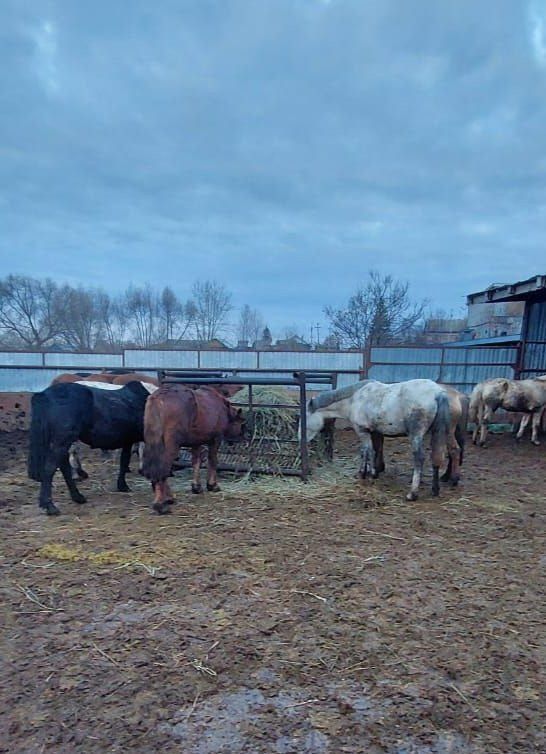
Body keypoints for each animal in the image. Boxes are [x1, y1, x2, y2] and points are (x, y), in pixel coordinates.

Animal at [27, 378, 155, 516]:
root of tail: (44, 395)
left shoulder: (128, 440)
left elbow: (124, 461)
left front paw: (122, 485)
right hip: (62, 441)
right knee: (50, 468)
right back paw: (50, 505)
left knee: (64, 466)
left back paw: (77, 496)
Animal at [140, 384, 244, 516]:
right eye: (241, 423)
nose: (242, 435)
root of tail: (157, 398)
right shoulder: (215, 439)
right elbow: (212, 460)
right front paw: (212, 485)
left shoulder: (196, 442)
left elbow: (196, 462)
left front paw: (196, 487)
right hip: (170, 446)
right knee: (162, 469)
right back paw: (161, 504)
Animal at [302, 376, 454, 500]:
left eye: (304, 418)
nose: (300, 439)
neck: (354, 399)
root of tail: (437, 393)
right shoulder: (375, 432)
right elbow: (374, 450)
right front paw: (372, 472)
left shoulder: (362, 431)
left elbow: (366, 451)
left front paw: (366, 474)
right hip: (437, 433)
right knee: (437, 457)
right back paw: (435, 490)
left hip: (416, 435)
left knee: (419, 458)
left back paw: (412, 494)